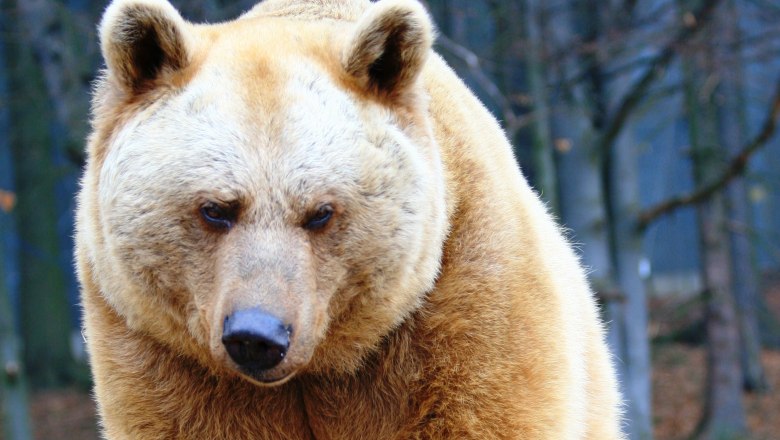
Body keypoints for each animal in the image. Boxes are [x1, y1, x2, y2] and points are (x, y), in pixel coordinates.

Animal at [76, 0, 624, 438]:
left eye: (320, 212)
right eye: (215, 208)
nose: (258, 336)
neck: (325, 363)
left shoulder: (463, 303)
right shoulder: (158, 348)